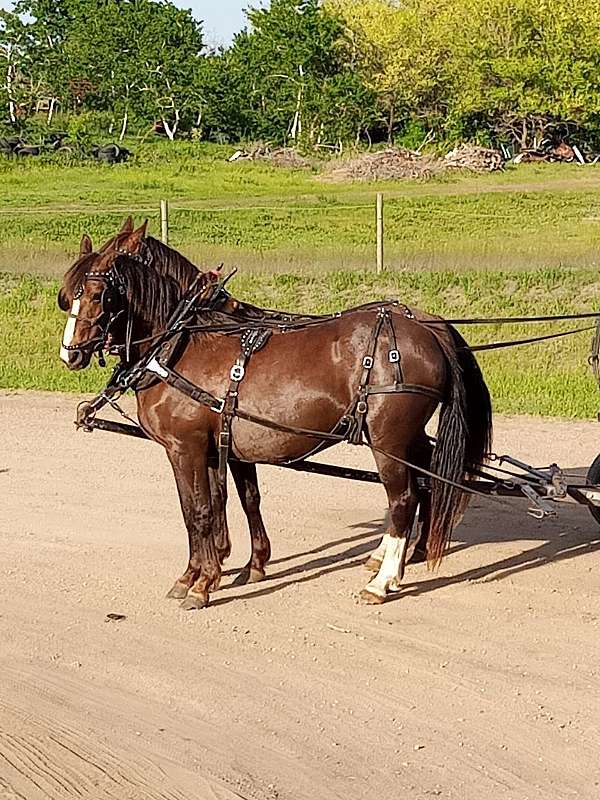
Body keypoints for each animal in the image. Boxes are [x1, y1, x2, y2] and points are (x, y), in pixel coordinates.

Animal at [57, 225, 492, 608]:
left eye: (97, 294)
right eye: (67, 296)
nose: (70, 353)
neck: (179, 343)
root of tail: (427, 331)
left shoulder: (185, 448)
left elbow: (196, 511)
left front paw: (200, 582)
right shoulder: (224, 446)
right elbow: (233, 501)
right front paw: (226, 567)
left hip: (388, 440)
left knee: (404, 498)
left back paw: (382, 581)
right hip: (408, 436)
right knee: (426, 479)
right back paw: (400, 559)